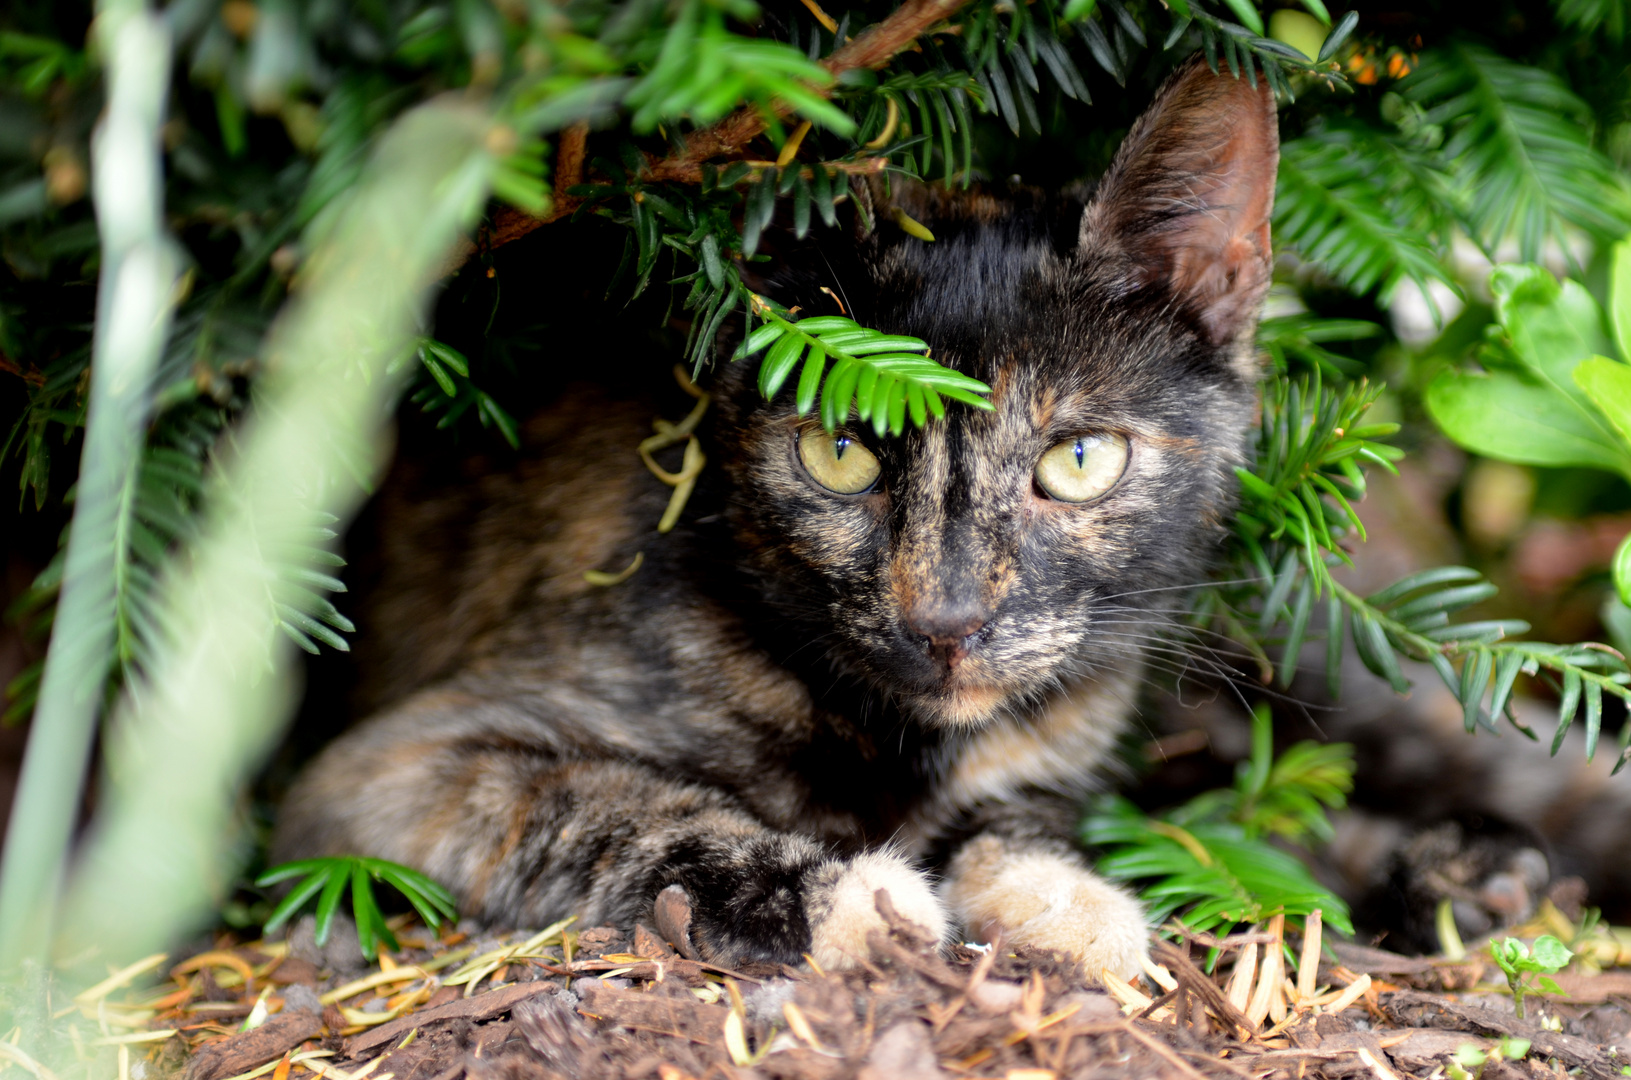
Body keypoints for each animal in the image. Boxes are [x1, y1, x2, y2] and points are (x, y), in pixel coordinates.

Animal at [274, 59, 1278, 978]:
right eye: (840, 453)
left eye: (1076, 460)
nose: (946, 622)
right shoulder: (393, 767)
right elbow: (621, 810)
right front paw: (844, 897)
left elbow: (1017, 812)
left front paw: (1062, 893)